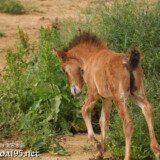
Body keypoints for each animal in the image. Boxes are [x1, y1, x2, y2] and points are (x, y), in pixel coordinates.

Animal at [53, 31, 160, 160]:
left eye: (64, 70)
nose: (74, 91)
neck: (91, 57)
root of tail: (129, 62)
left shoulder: (93, 93)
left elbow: (84, 111)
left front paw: (97, 145)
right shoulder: (106, 98)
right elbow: (103, 121)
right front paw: (101, 152)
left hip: (119, 98)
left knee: (128, 123)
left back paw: (127, 156)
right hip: (137, 94)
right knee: (148, 109)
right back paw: (156, 150)